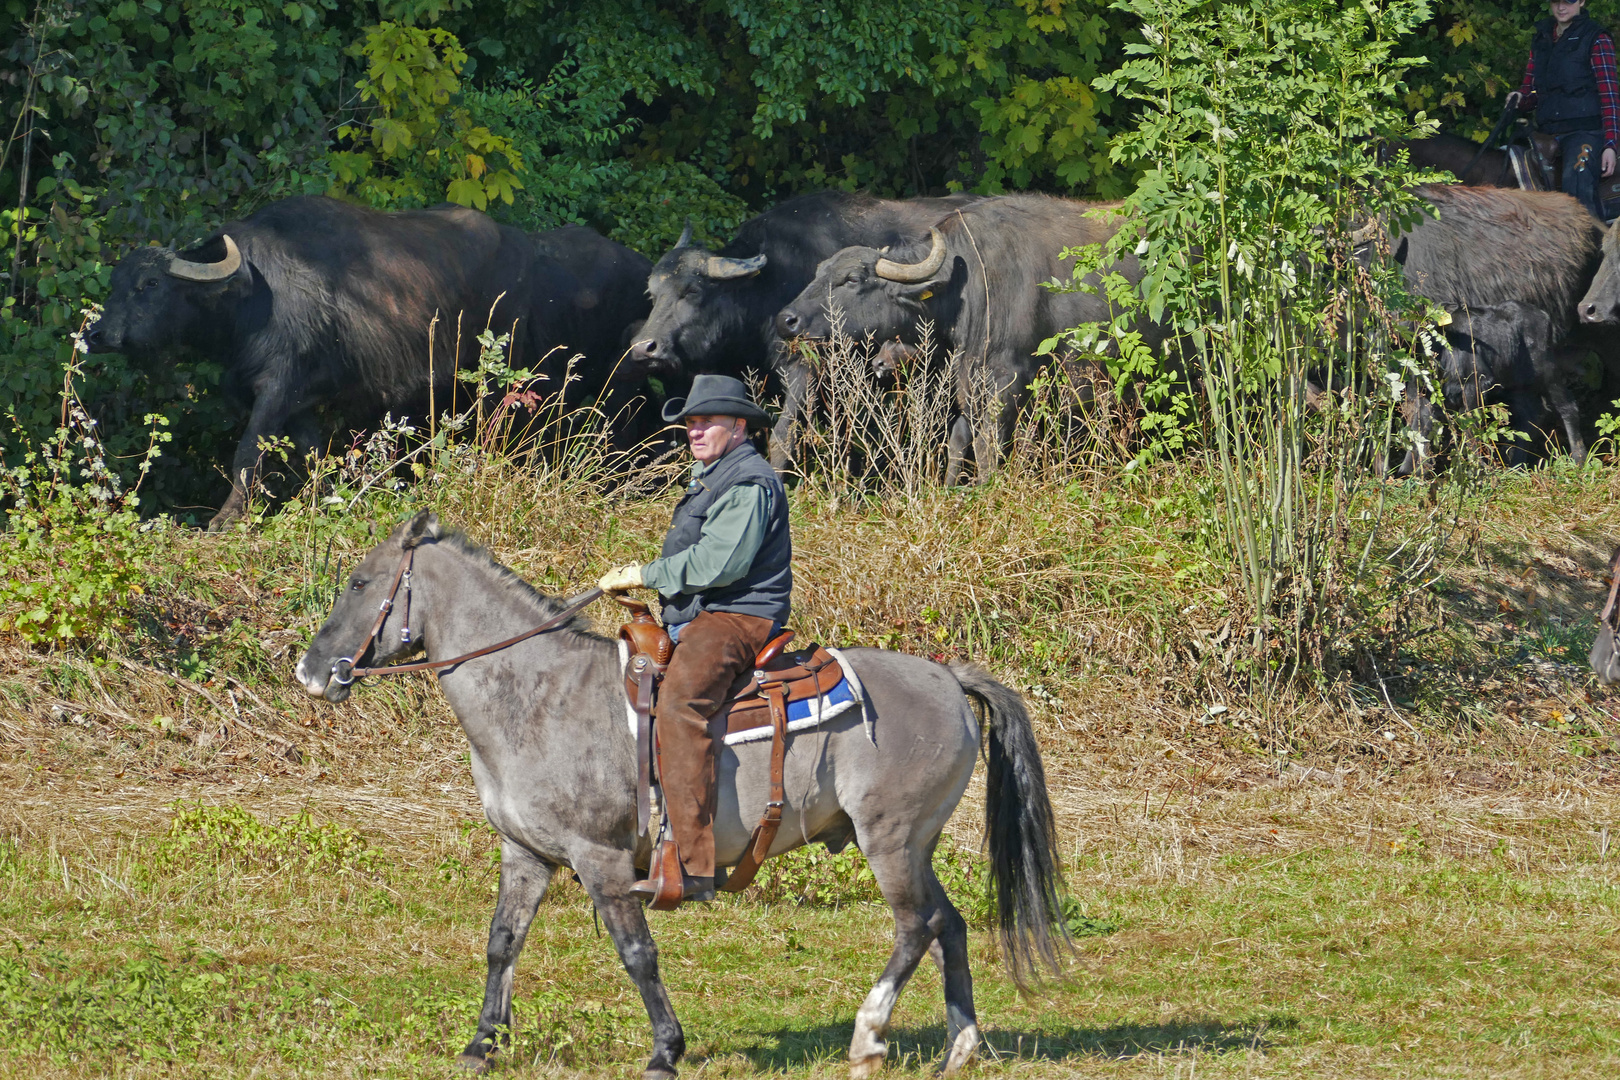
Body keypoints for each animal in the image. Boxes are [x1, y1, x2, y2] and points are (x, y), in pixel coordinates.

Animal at [296, 514, 1069, 1080]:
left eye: (360, 582)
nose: (311, 671)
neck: (538, 694)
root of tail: (948, 679)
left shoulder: (602, 860)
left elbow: (637, 952)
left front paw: (665, 1050)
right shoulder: (524, 852)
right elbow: (501, 942)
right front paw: (482, 1045)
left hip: (890, 840)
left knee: (915, 926)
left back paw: (869, 1034)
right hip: (915, 844)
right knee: (949, 925)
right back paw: (959, 1046)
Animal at [625, 191, 978, 469]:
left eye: (692, 290)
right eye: (652, 294)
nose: (644, 348)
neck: (767, 289)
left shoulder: (805, 369)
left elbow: (783, 436)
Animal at [771, 191, 1153, 482]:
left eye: (853, 279)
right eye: (819, 272)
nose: (786, 320)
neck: (969, 286)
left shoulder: (1008, 378)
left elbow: (988, 445)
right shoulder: (968, 374)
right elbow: (959, 437)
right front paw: (951, 488)